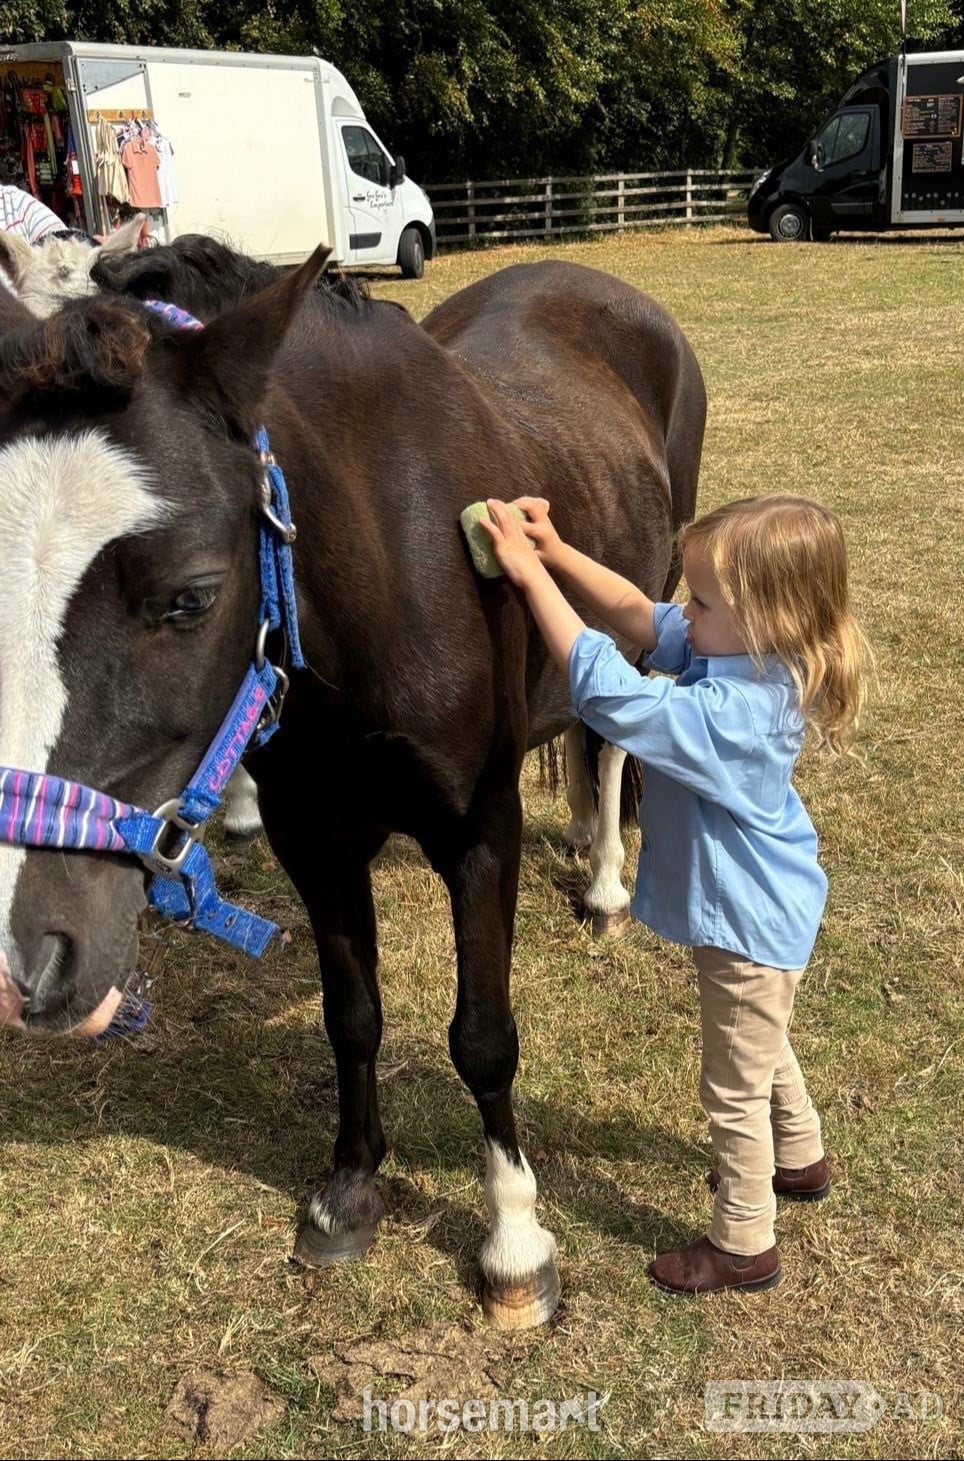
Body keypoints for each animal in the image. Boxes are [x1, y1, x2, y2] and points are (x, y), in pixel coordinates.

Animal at [0, 243, 705, 1327]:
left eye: (189, 598)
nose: (25, 962)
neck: (383, 564)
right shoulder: (314, 839)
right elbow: (353, 1015)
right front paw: (349, 1188)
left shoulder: (479, 834)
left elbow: (482, 1037)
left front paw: (514, 1243)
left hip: (651, 596)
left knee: (616, 741)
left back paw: (606, 887)